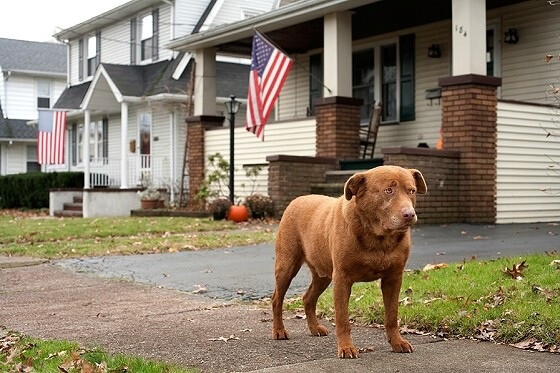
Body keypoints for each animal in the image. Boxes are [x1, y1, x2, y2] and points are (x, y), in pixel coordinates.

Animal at [274, 166, 426, 358]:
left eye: (411, 191)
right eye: (388, 190)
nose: (409, 214)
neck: (378, 237)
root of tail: (297, 199)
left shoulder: (393, 278)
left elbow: (392, 315)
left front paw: (397, 342)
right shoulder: (342, 278)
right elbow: (342, 318)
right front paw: (346, 347)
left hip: (323, 275)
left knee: (308, 297)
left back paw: (314, 328)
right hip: (286, 265)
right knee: (276, 299)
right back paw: (279, 331)